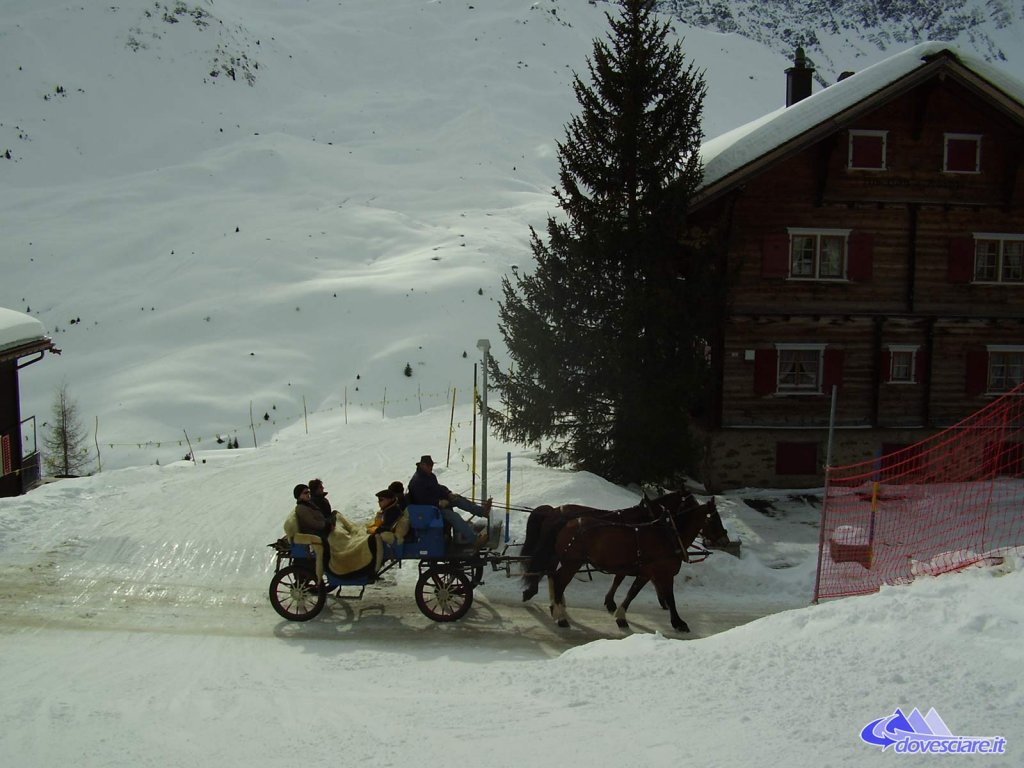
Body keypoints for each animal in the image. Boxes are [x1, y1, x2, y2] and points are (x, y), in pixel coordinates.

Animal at [528, 495, 720, 634]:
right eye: (713, 519)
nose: (722, 538)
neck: (668, 536)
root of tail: (563, 520)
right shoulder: (662, 573)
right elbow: (670, 598)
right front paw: (679, 623)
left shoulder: (645, 571)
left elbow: (631, 591)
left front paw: (619, 614)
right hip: (571, 563)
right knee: (558, 581)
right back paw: (559, 616)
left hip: (566, 561)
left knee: (553, 576)